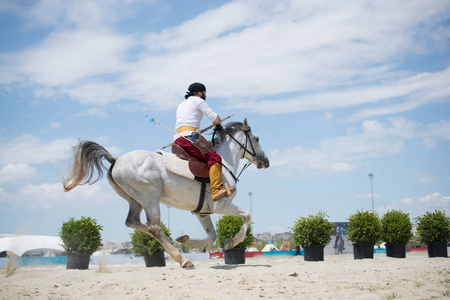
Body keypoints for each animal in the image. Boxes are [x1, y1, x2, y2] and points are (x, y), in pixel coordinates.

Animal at [61, 118, 268, 268]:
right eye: (257, 138)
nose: (265, 161)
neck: (224, 163)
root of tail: (116, 159)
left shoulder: (202, 212)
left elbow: (212, 236)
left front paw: (188, 241)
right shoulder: (221, 205)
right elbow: (246, 216)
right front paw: (232, 242)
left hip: (135, 199)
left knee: (133, 222)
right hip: (150, 197)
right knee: (154, 227)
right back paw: (182, 259)